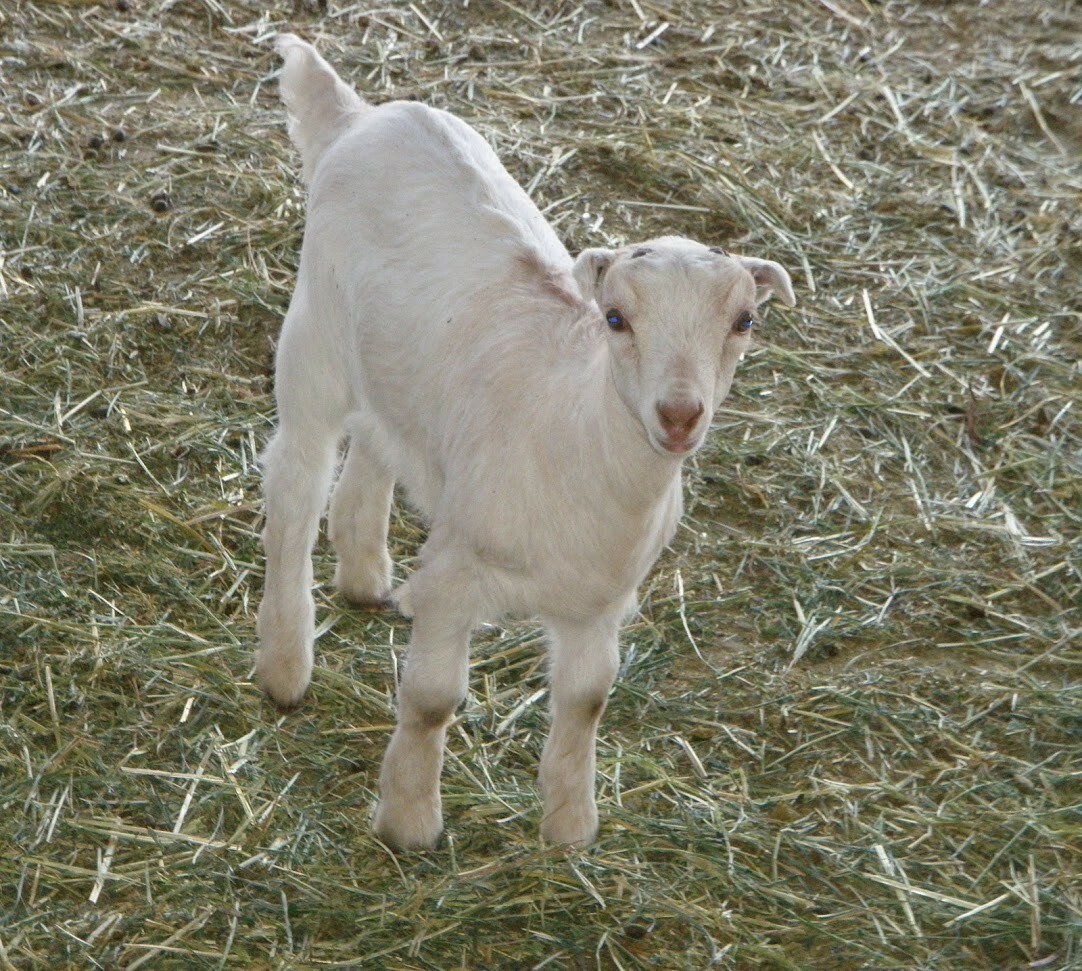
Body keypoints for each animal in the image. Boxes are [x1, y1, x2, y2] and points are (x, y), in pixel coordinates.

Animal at [257, 34, 796, 850]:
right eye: (615, 318)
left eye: (745, 321)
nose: (678, 415)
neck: (571, 428)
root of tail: (361, 117)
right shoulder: (456, 576)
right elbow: (431, 699)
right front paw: (409, 821)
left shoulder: (601, 603)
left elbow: (586, 702)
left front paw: (569, 827)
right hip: (313, 333)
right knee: (294, 481)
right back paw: (286, 665)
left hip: (392, 363)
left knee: (380, 439)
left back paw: (365, 575)